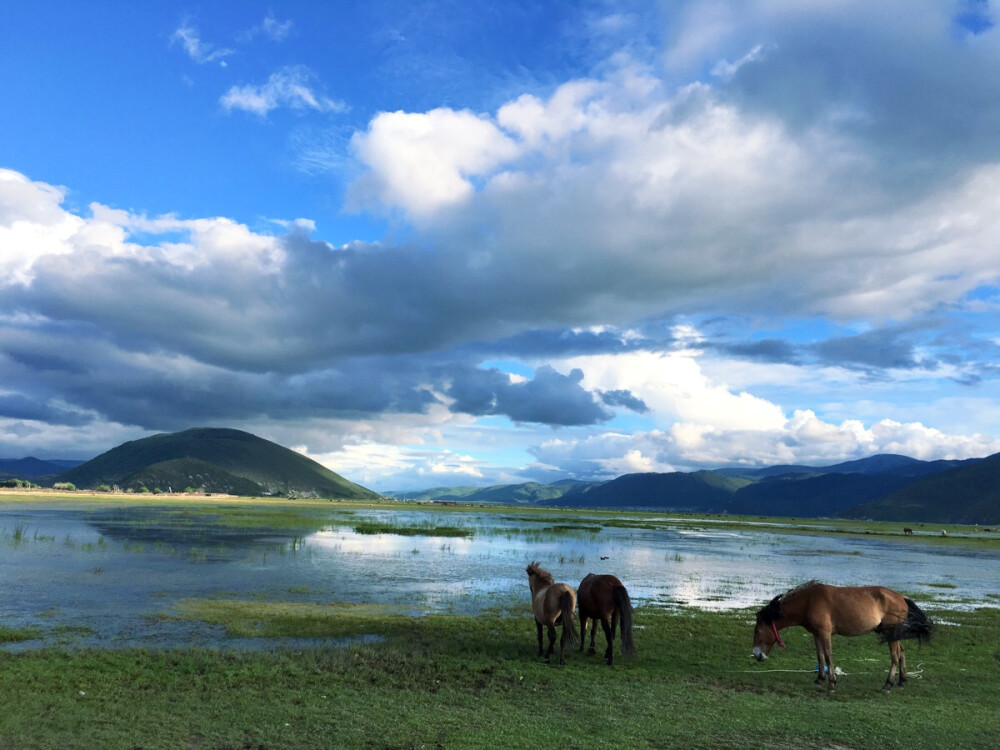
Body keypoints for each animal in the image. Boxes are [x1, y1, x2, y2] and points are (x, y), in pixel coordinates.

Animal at [752, 584, 932, 696]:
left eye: (757, 630)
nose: (756, 654)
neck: (809, 601)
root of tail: (901, 597)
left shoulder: (825, 633)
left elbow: (828, 656)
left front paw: (831, 684)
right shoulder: (817, 634)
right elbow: (820, 656)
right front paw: (819, 679)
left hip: (891, 632)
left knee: (894, 656)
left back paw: (888, 684)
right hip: (892, 634)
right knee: (901, 652)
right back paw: (902, 681)